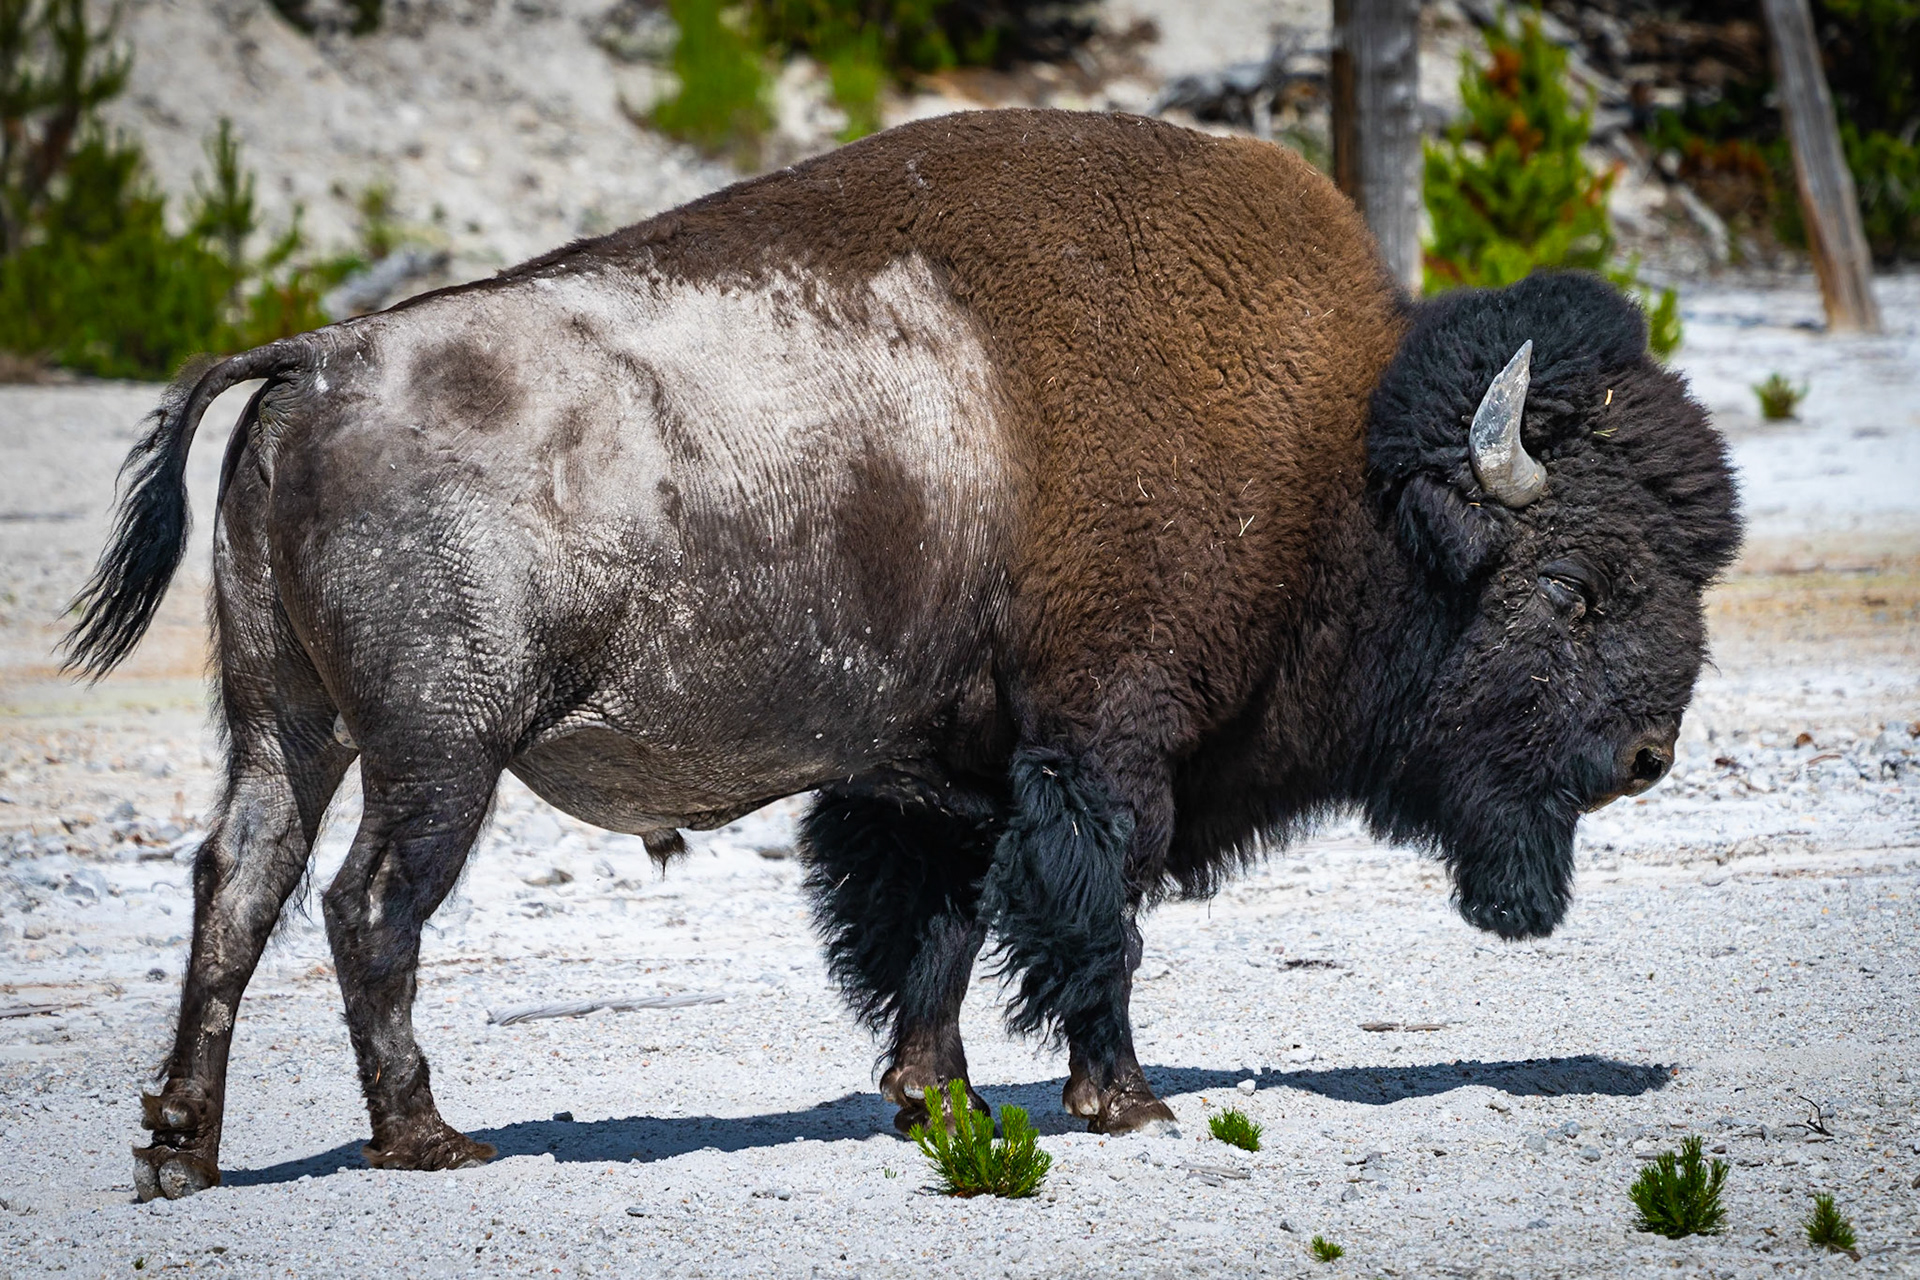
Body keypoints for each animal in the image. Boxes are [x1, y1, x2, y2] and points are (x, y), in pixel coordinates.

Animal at [65, 109, 1739, 1201]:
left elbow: (931, 934)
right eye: (1578, 587)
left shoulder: (938, 781)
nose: (1648, 753)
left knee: (237, 892)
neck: (1335, 464)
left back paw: (180, 1151)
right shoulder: (1100, 752)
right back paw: (427, 1142)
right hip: (438, 754)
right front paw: (1124, 1104)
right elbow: (1091, 921)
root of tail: (314, 359)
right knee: (364, 909)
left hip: (287, 727)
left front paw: (934, 1104)